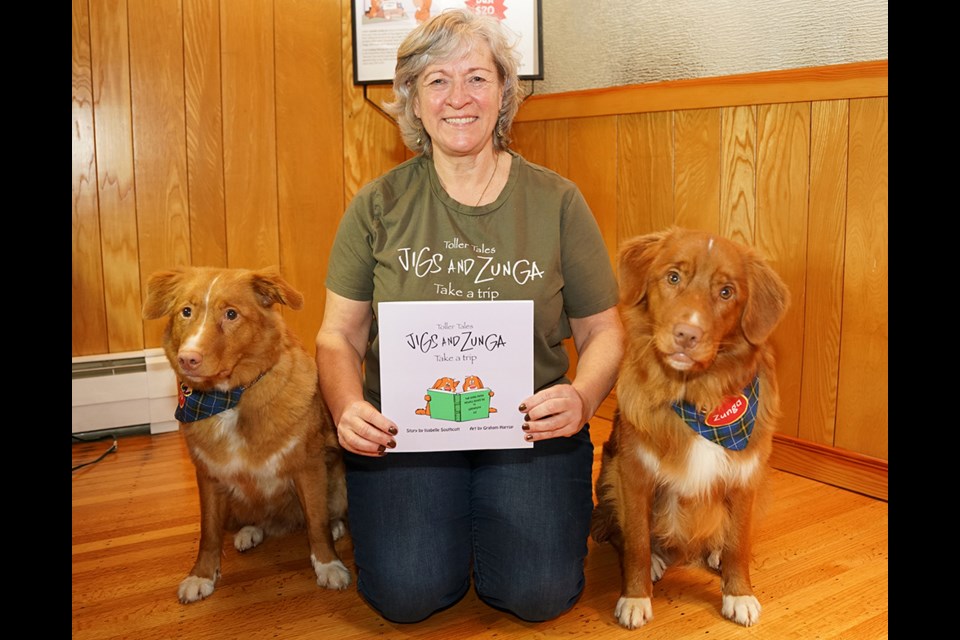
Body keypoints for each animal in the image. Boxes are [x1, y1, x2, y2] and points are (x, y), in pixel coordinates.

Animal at [141, 264, 350, 600]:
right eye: (186, 311)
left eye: (231, 314)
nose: (188, 359)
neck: (230, 400)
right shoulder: (209, 477)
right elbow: (209, 532)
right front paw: (201, 575)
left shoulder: (308, 467)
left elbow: (316, 521)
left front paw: (328, 564)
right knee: (255, 519)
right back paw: (249, 532)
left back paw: (335, 526)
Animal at [592, 228, 788, 628]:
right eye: (673, 277)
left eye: (726, 292)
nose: (687, 334)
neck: (698, 397)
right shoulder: (633, 473)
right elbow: (636, 541)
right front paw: (635, 598)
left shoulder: (746, 477)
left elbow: (739, 543)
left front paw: (738, 593)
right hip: (609, 472)